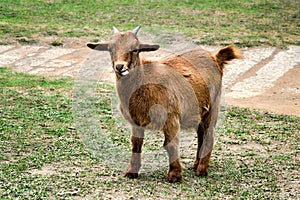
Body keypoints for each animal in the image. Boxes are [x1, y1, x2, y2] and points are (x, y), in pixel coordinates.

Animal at [86, 26, 241, 183]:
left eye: (135, 49)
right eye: (110, 49)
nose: (119, 67)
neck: (145, 83)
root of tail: (215, 57)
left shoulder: (171, 118)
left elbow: (170, 145)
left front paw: (174, 175)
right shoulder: (136, 122)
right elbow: (136, 144)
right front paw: (131, 172)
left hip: (213, 105)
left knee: (209, 135)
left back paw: (202, 170)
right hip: (199, 111)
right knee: (201, 134)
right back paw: (196, 164)